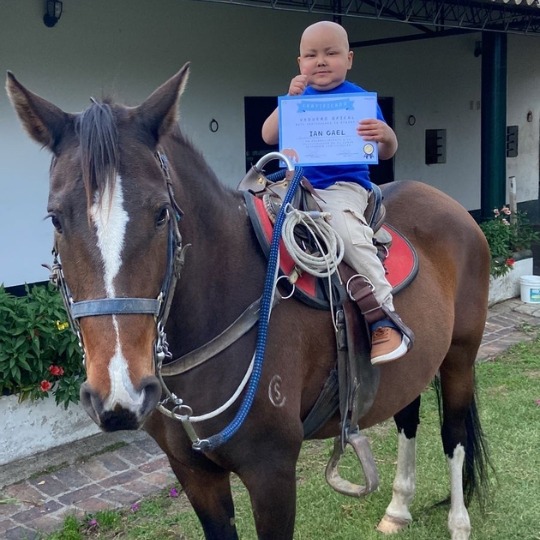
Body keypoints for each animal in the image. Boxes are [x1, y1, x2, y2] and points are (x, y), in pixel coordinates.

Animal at [7, 64, 494, 540]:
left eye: (161, 213)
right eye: (56, 218)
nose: (120, 392)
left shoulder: (271, 473)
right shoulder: (194, 474)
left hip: (459, 357)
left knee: (453, 435)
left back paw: (458, 523)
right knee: (407, 416)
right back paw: (398, 508)